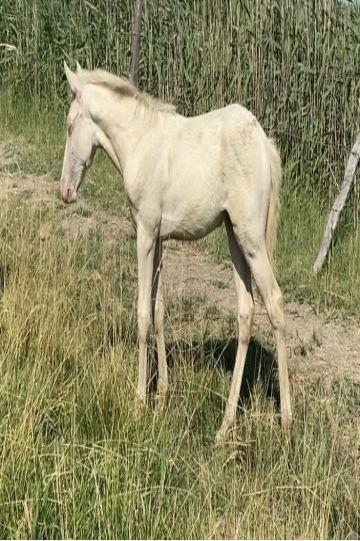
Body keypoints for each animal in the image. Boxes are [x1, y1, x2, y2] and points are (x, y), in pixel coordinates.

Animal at [60, 63, 292, 442]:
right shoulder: (160, 238)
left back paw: (286, 419)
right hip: (234, 237)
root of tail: (263, 143)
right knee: (246, 310)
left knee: (274, 303)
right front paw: (163, 394)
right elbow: (159, 310)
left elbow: (143, 313)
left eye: (69, 125)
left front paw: (139, 402)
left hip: (252, 239)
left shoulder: (143, 233)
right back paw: (225, 426)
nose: (65, 191)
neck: (139, 143)